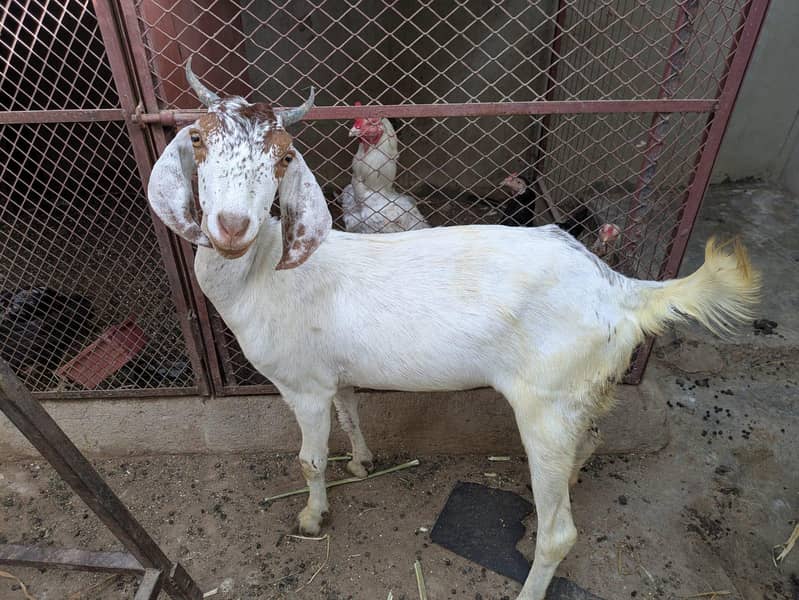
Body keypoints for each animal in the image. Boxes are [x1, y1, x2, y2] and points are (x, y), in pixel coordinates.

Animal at [147, 59, 760, 600]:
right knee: (591, 439)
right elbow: (351, 415)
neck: (262, 271)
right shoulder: (334, 374)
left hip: (546, 403)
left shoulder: (303, 385)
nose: (231, 226)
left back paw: (532, 581)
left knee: (561, 533)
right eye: (197, 141)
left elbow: (309, 460)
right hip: (587, 391)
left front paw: (312, 516)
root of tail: (622, 290)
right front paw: (362, 462)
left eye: (283, 158)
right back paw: (571, 480)